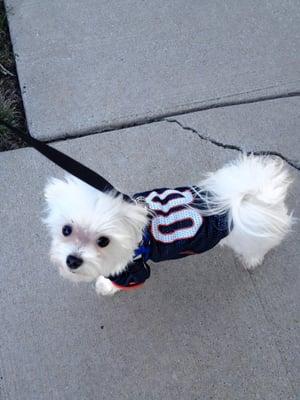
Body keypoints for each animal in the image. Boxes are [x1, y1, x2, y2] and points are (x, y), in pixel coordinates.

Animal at [44, 155, 292, 296]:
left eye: (103, 241)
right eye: (66, 230)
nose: (73, 260)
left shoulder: (134, 270)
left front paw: (105, 286)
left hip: (253, 236)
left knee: (261, 246)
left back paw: (252, 260)